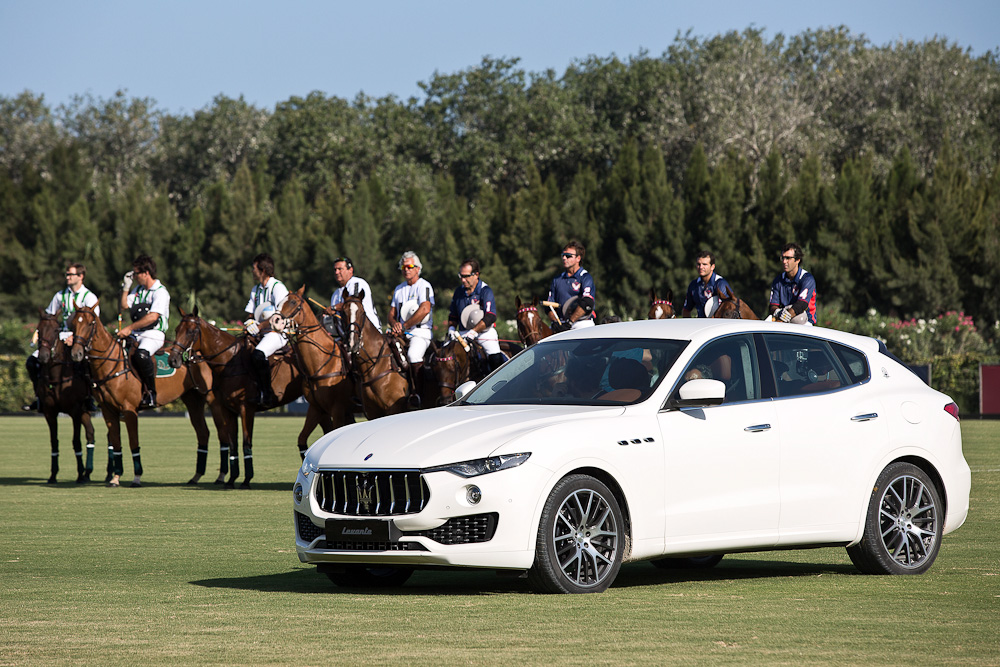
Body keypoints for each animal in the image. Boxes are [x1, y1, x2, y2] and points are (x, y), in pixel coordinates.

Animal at [34, 308, 96, 486]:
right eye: (39, 330)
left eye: (56, 330)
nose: (43, 356)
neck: (56, 376)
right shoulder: (49, 412)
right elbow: (54, 442)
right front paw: (53, 475)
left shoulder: (75, 411)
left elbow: (76, 441)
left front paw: (79, 475)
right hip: (85, 412)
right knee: (91, 433)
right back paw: (89, 472)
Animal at [70, 306, 219, 488]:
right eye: (73, 323)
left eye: (90, 324)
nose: (76, 353)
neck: (112, 365)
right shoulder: (108, 411)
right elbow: (116, 443)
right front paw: (115, 477)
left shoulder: (129, 409)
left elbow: (133, 442)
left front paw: (136, 478)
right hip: (192, 400)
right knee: (203, 432)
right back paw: (196, 476)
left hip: (212, 399)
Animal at [168, 310, 304, 488]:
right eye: (176, 330)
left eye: (191, 332)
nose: (173, 360)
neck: (228, 363)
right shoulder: (228, 410)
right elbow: (233, 444)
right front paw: (231, 480)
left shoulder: (246, 409)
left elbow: (246, 442)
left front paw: (246, 480)